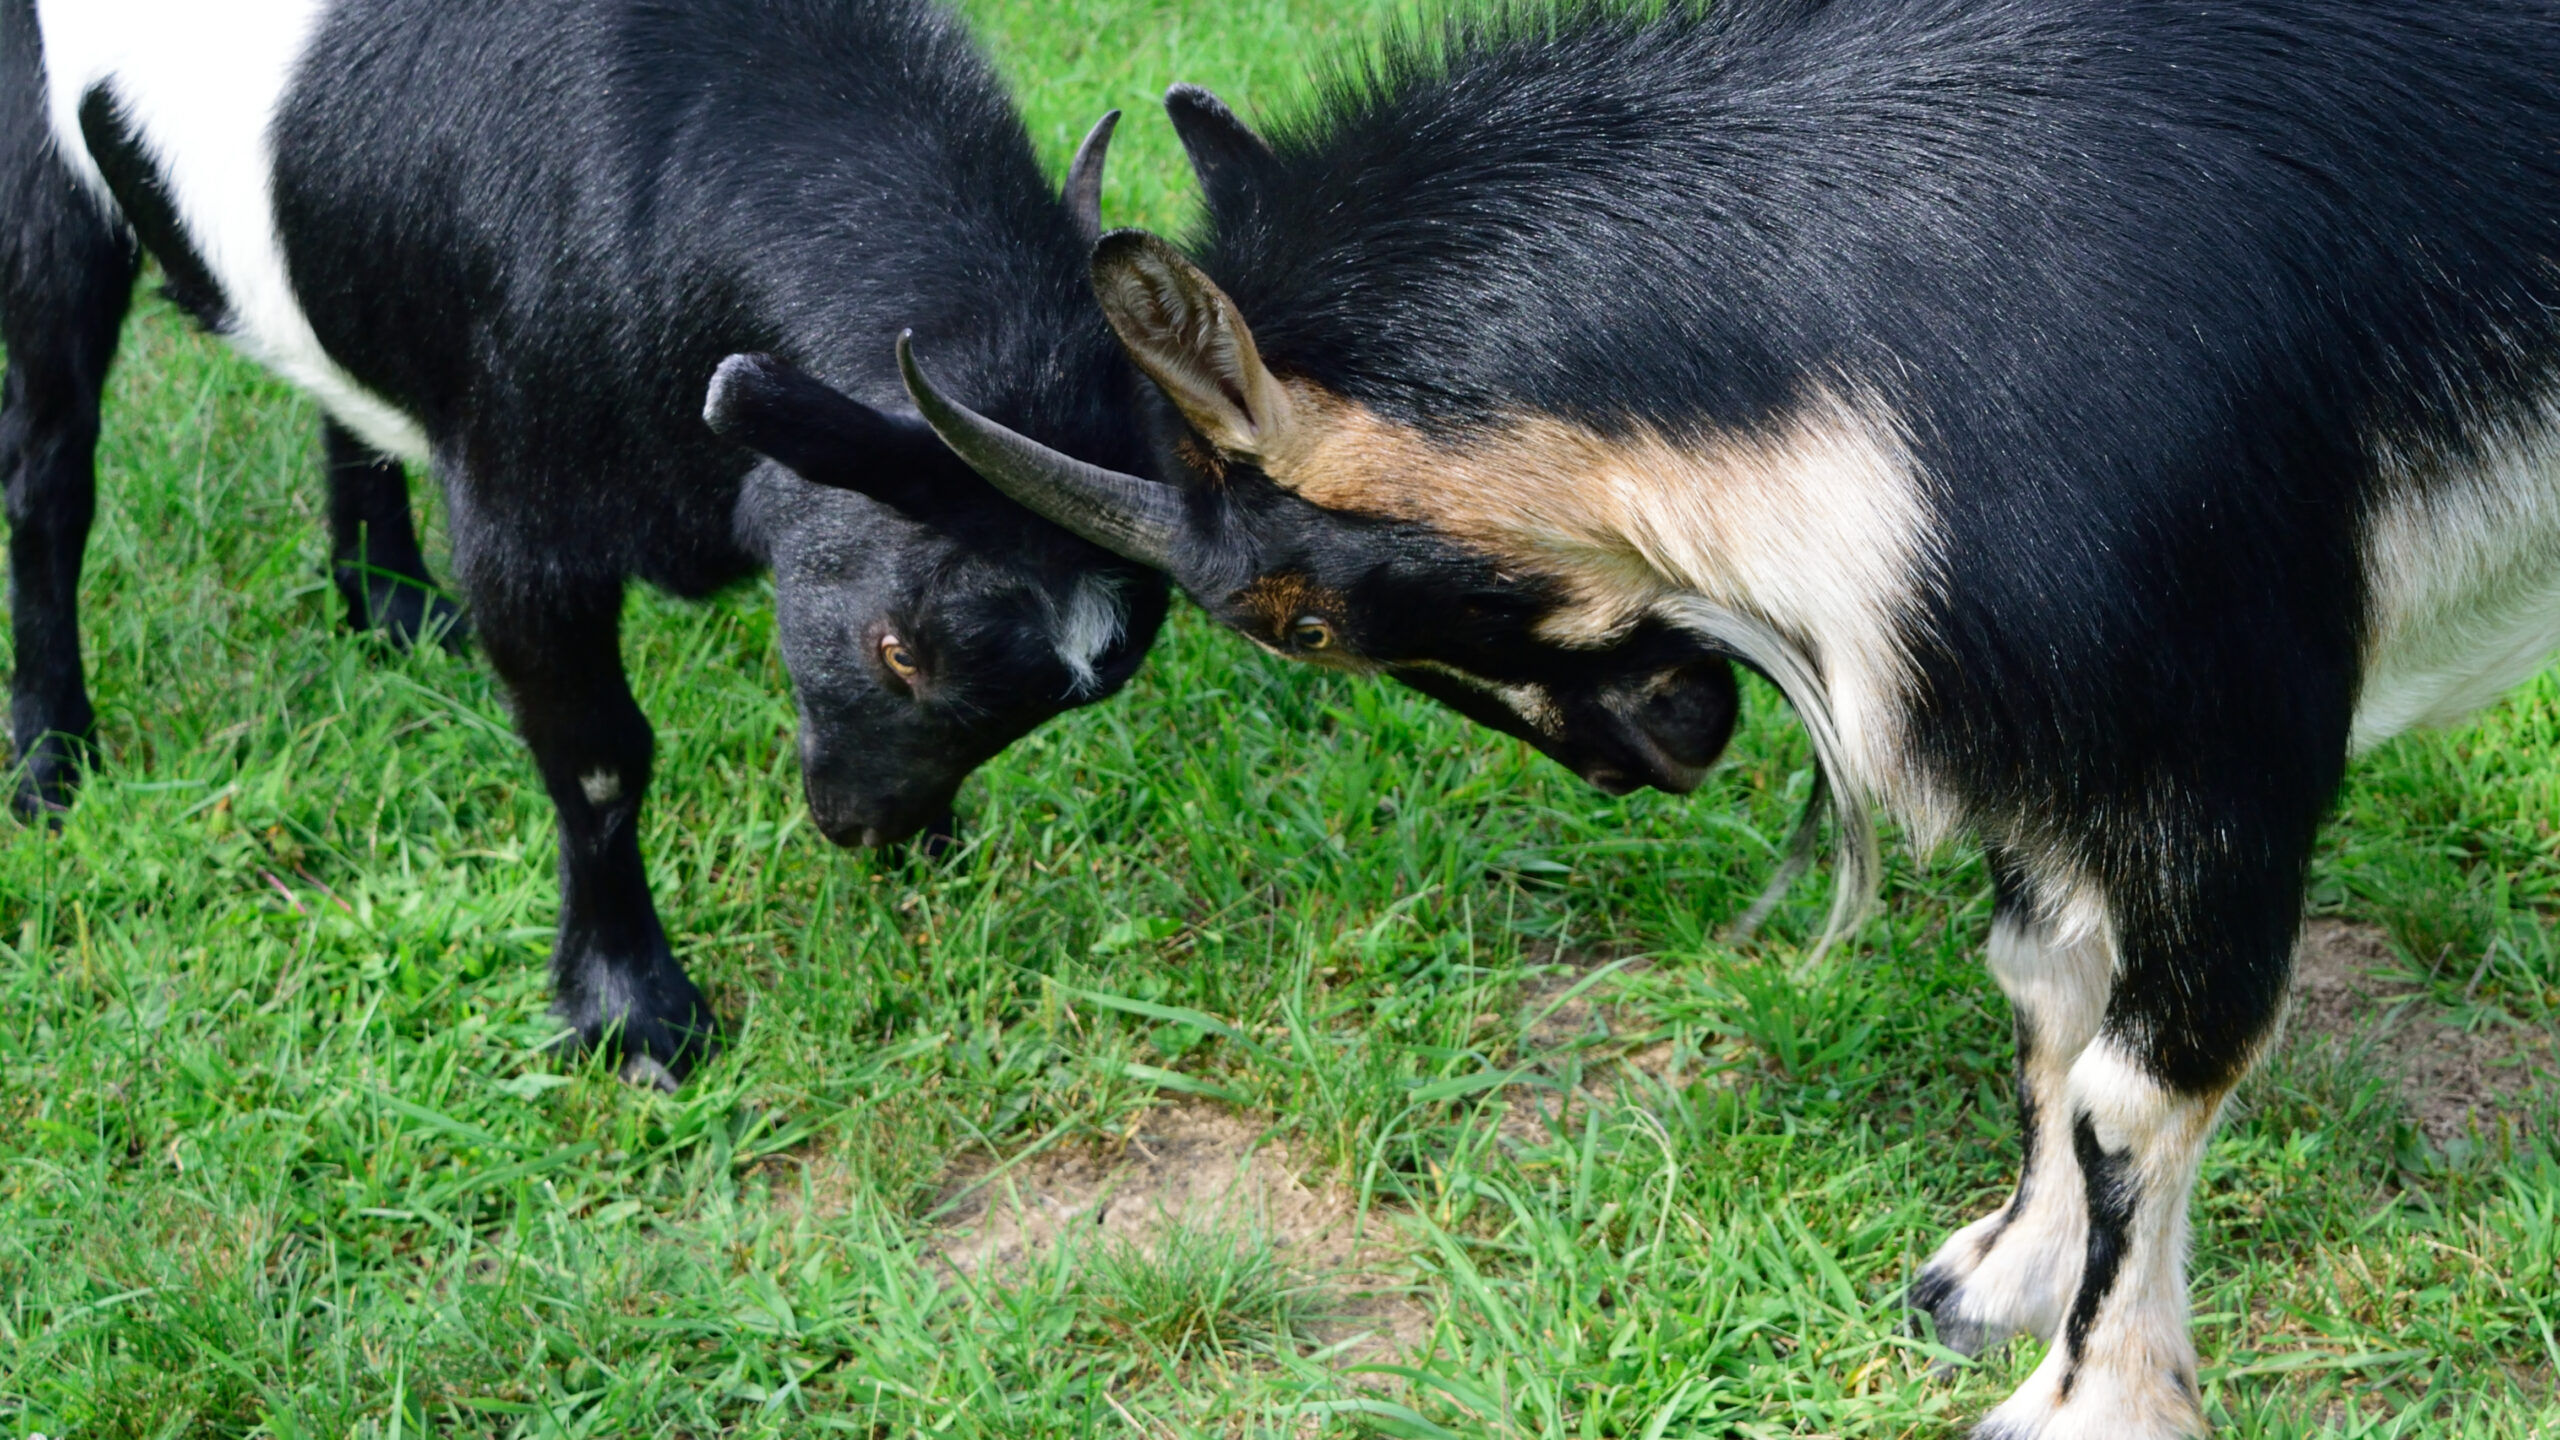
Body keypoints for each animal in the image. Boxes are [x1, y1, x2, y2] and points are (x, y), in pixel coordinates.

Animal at [2, 0, 1178, 1086]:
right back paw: (50, 759)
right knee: (49, 471)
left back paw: (392, 610)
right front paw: (633, 1015)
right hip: (44, 189)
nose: (859, 828)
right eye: (898, 650)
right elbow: (601, 757)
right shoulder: (521, 518)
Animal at [898, 2, 2560, 1432]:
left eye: (1298, 621)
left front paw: (2093, 1406)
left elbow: (2132, 1092)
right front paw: (1995, 1282)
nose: (1645, 753)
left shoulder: (2223, 736)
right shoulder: (2039, 727)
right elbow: (2042, 988)